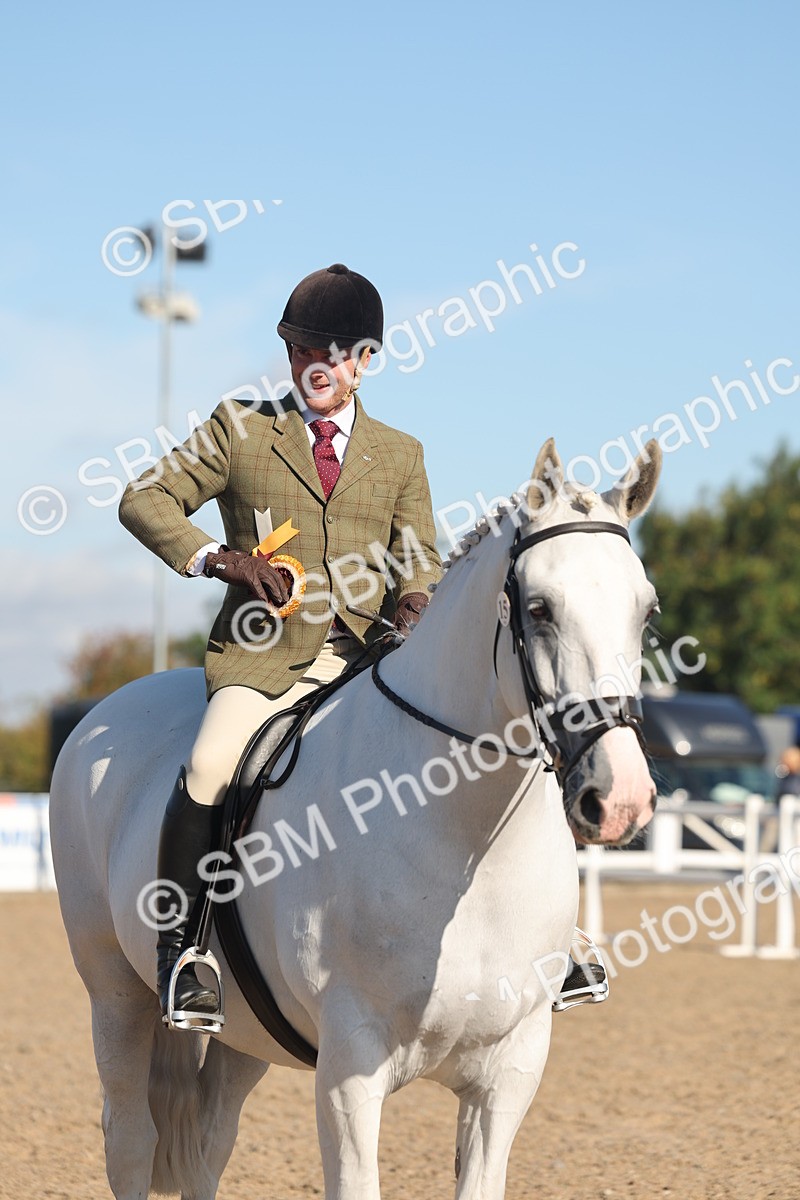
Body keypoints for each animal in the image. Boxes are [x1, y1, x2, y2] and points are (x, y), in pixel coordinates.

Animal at [50, 437, 661, 1200]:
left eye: (647, 611)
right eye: (541, 608)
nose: (621, 799)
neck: (467, 846)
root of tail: (107, 709)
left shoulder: (509, 1072)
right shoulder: (351, 1070)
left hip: (246, 1031)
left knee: (207, 1142)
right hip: (115, 993)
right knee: (132, 1139)